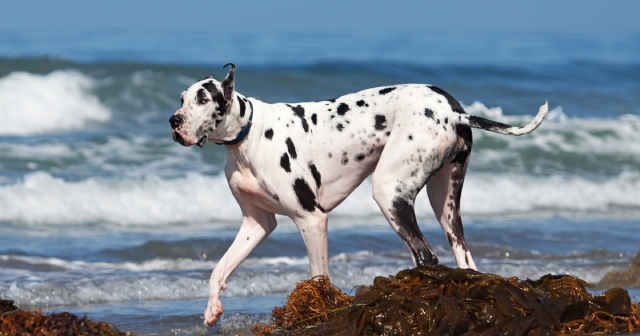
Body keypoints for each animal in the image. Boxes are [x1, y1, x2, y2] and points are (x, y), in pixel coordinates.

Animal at [168, 63, 548, 326]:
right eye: (182, 98)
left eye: (204, 98)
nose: (174, 120)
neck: (250, 136)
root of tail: (454, 110)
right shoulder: (256, 223)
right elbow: (218, 270)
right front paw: (212, 309)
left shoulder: (312, 219)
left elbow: (319, 278)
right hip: (445, 205)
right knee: (465, 261)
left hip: (389, 192)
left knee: (426, 258)